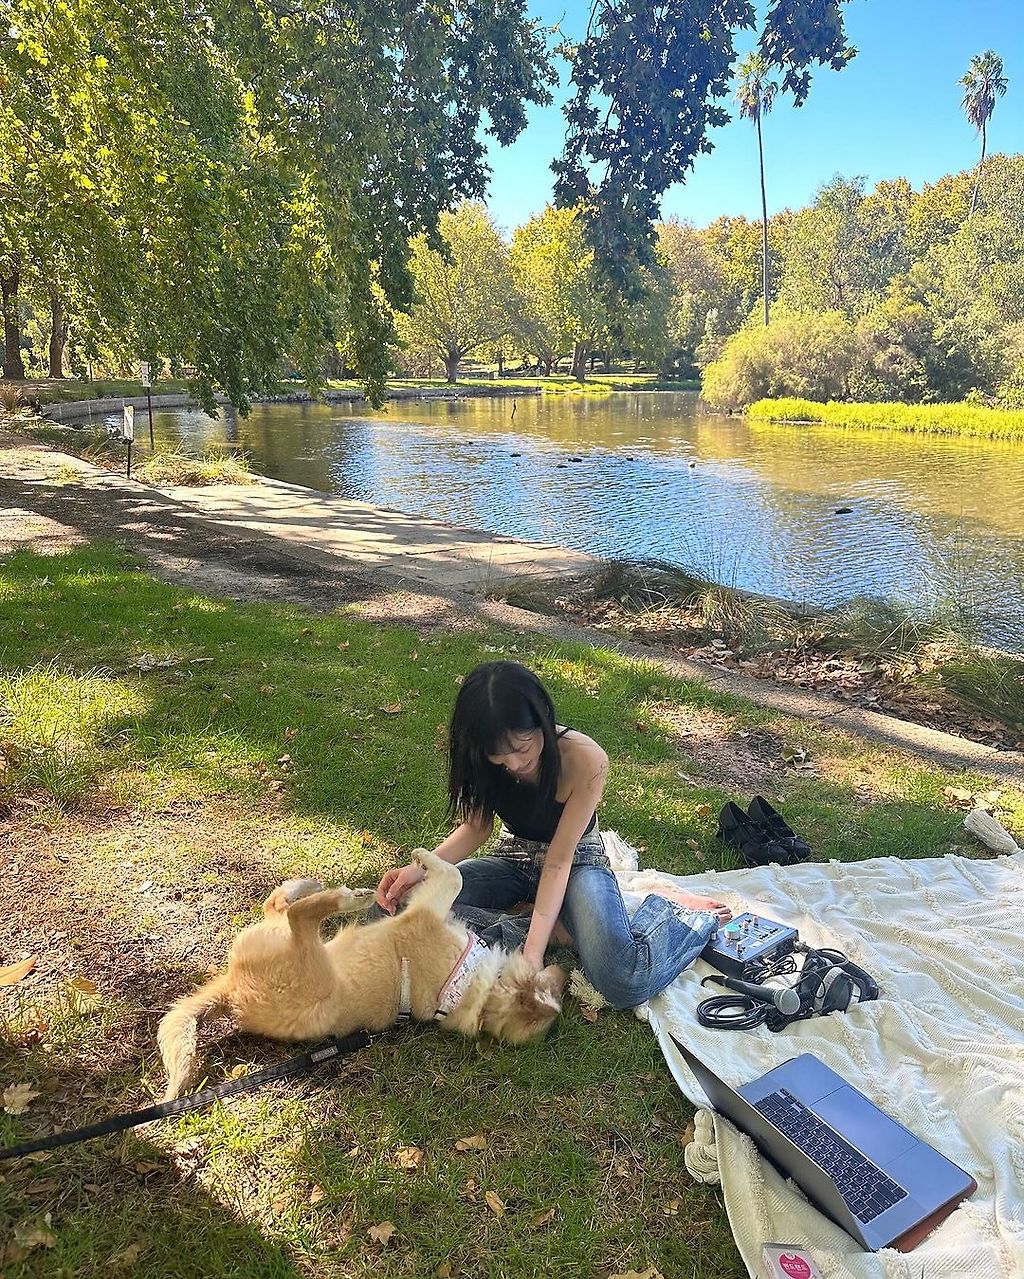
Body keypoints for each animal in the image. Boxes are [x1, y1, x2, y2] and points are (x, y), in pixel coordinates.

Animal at [157, 849, 567, 1099]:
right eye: (554, 986)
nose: (564, 969)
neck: (479, 995)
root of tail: (232, 990)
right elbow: (452, 875)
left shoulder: (426, 911)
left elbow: (453, 876)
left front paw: (422, 858)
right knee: (278, 904)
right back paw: (314, 886)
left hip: (306, 960)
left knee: (294, 913)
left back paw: (347, 897)